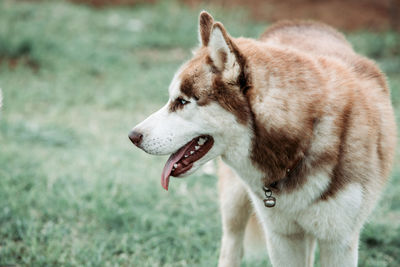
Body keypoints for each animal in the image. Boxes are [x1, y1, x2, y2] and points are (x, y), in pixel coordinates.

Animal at [129, 11, 396, 266]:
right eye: (172, 99)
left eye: (182, 101)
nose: (132, 136)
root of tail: (298, 22)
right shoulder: (281, 238)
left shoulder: (339, 242)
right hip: (235, 203)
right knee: (231, 245)